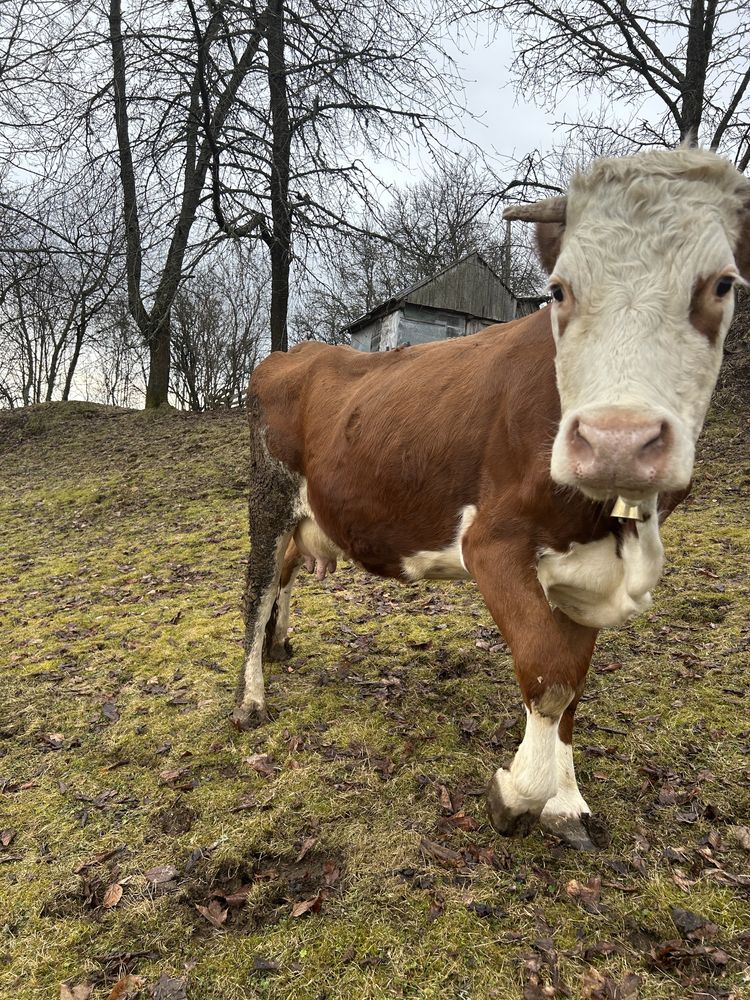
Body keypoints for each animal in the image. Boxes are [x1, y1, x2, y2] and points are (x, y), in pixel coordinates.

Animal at [235, 150, 750, 852]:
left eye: (723, 284)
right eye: (558, 289)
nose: (617, 439)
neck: (616, 527)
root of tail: (293, 352)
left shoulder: (586, 573)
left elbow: (572, 684)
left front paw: (567, 802)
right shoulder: (493, 542)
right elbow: (549, 676)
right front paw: (517, 793)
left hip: (307, 515)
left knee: (285, 576)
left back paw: (280, 646)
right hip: (269, 492)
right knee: (256, 589)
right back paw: (250, 700)